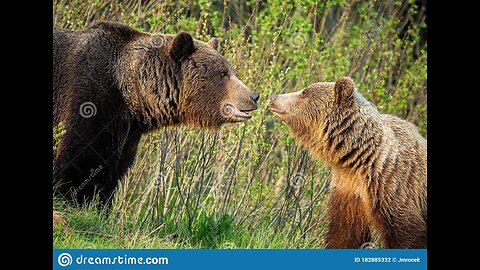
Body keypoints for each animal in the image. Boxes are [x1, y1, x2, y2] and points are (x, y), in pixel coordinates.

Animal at [52, 22, 258, 209]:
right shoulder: (89, 100)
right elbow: (79, 163)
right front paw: (71, 202)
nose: (254, 96)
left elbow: (112, 174)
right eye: (223, 73)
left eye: (232, 70)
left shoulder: (127, 134)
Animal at [270, 76, 428, 249]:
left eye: (304, 93)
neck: (361, 158)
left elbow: (405, 234)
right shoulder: (349, 189)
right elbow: (344, 233)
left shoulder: (395, 187)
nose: (274, 97)